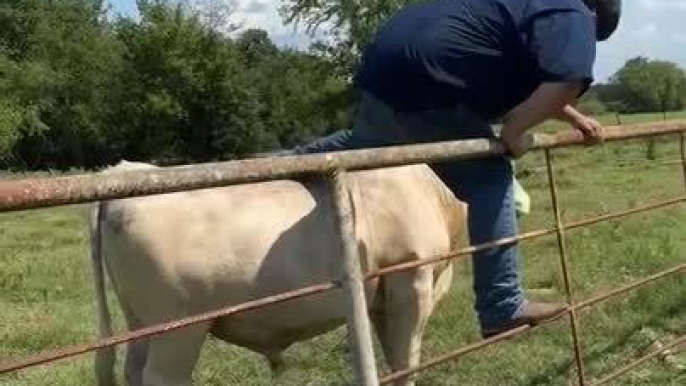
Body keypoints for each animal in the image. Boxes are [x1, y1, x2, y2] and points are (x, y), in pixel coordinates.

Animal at [88, 160, 468, 386]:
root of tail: (124, 170)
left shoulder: (379, 296)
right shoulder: (412, 280)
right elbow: (406, 362)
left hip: (139, 320)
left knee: (133, 368)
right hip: (179, 328)